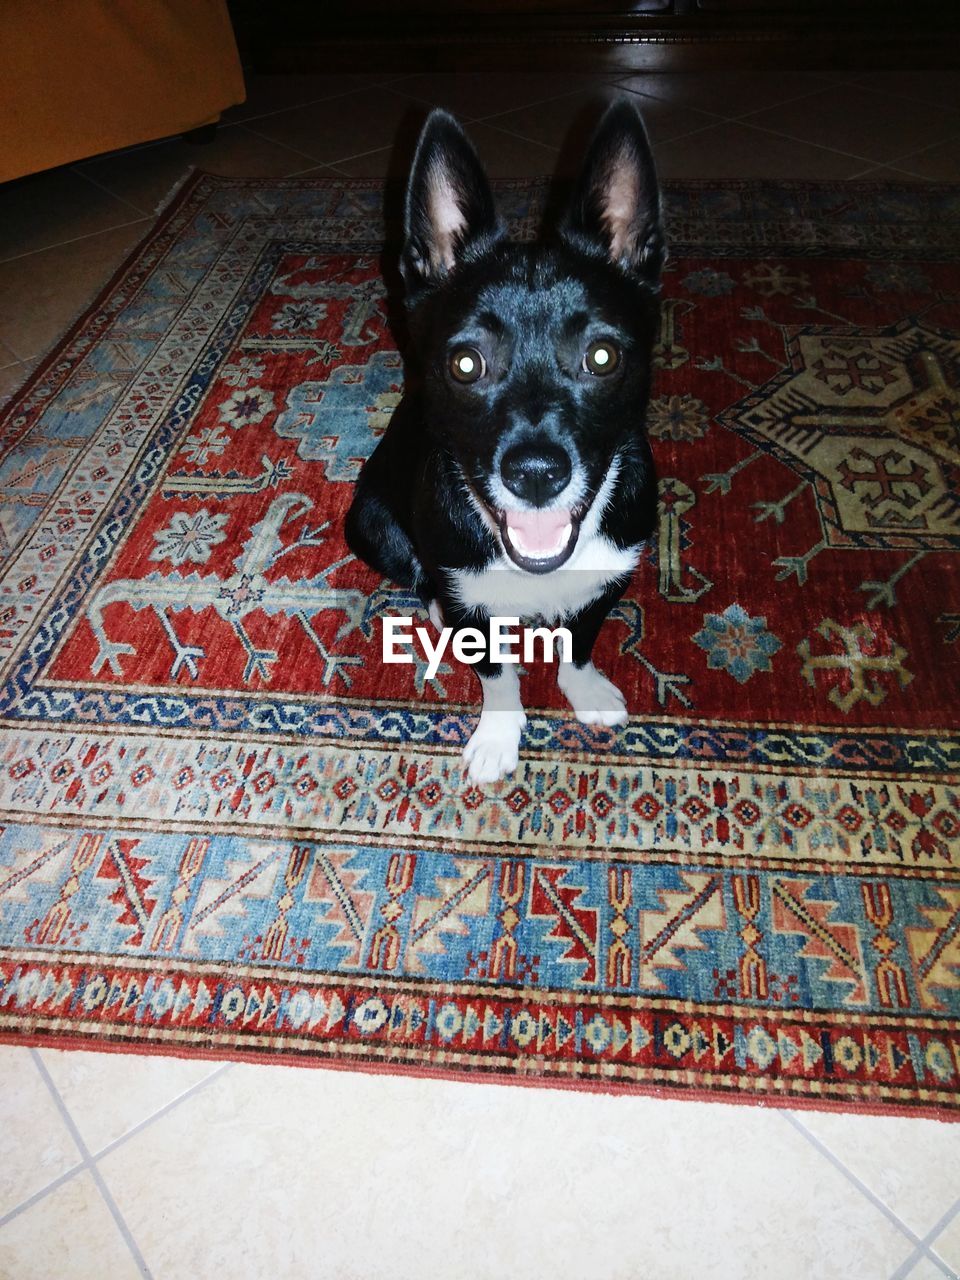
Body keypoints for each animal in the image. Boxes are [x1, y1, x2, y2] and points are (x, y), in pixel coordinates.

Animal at [343, 97, 665, 778]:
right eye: (467, 363)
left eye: (602, 356)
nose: (536, 472)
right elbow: (495, 672)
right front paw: (498, 736)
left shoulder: (609, 577)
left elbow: (580, 641)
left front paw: (585, 689)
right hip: (369, 525)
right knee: (421, 576)